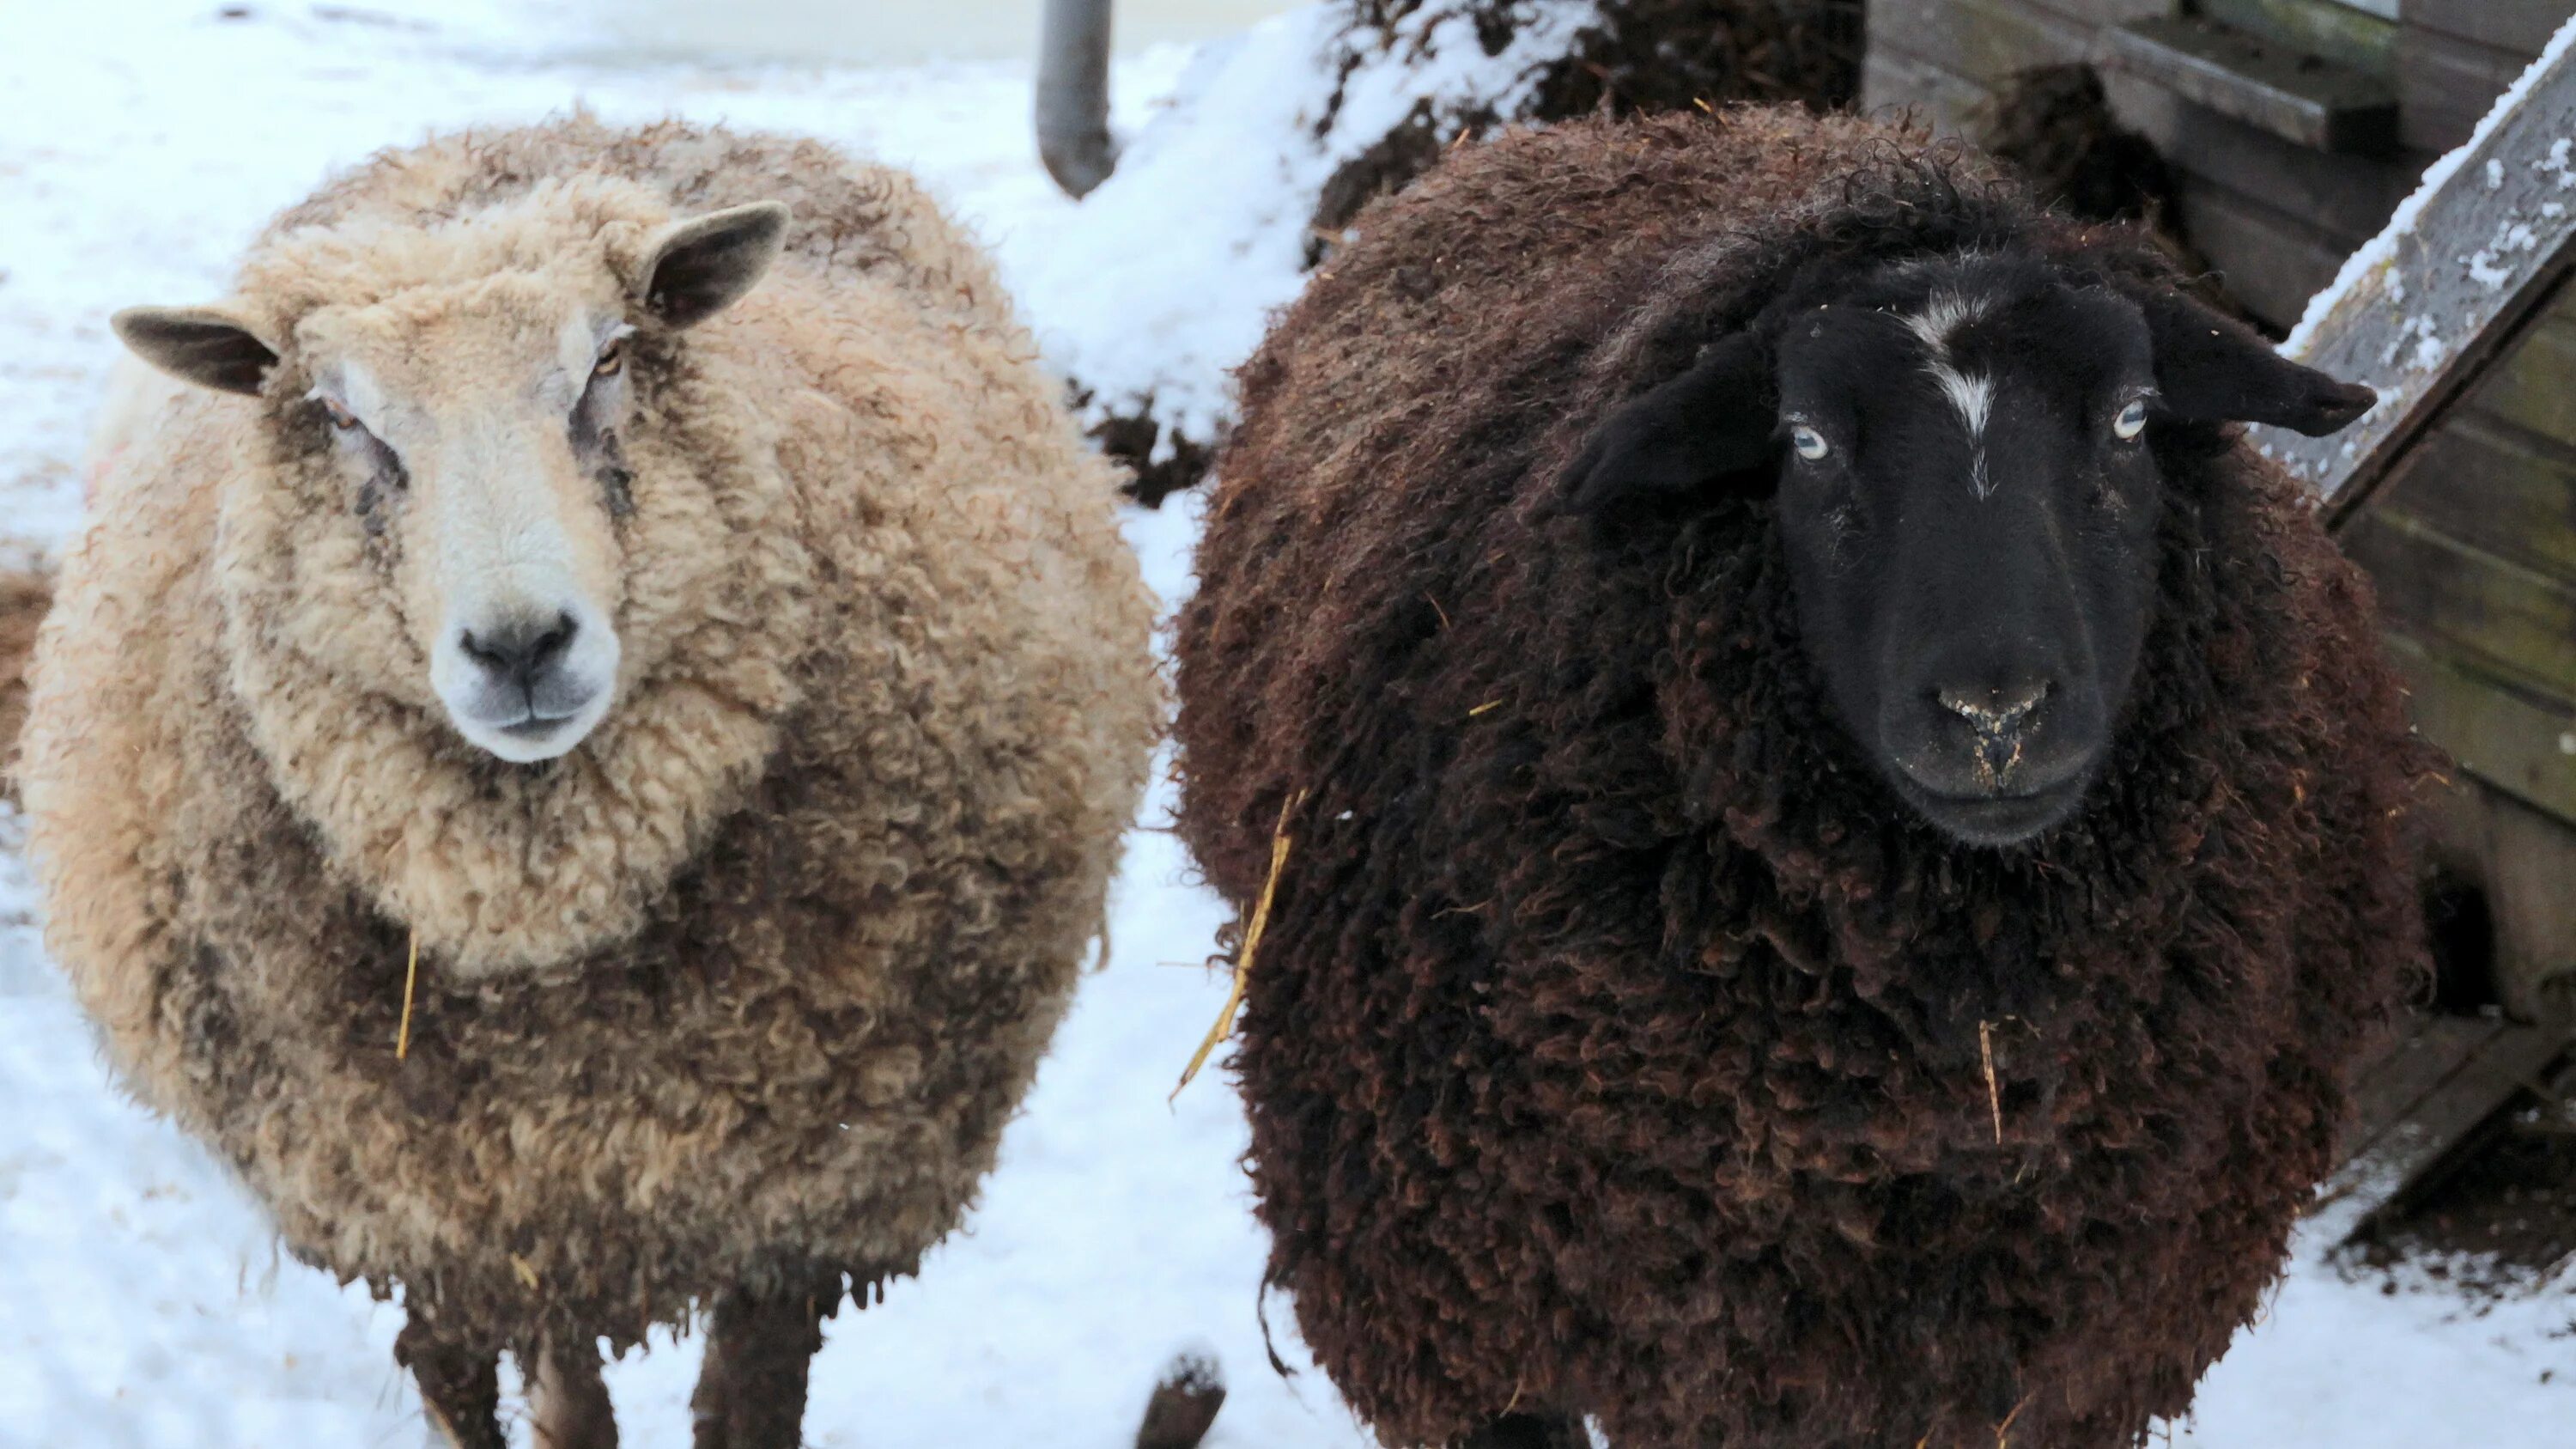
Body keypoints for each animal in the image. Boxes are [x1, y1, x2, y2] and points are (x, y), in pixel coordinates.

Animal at [20, 115, 1164, 1443]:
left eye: (609, 360)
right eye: (340, 414)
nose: (522, 644)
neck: (538, 920)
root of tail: (577, 124)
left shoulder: (802, 1205)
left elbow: (746, 1414)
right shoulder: (465, 1221)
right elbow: (525, 1409)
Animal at [1180, 110, 2421, 1443]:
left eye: (2135, 417)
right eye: (1808, 441)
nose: (1995, 710)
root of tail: (1580, 132)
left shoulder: (2066, 1361)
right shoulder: (1459, 1326)